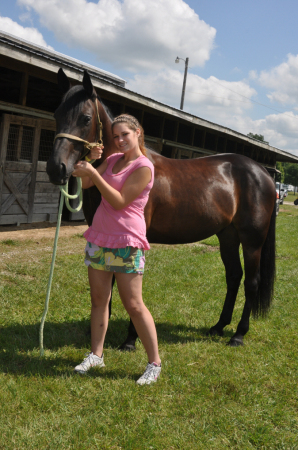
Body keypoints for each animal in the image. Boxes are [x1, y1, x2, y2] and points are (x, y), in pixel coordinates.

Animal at [47, 68, 278, 346]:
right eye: (57, 114)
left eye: (86, 118)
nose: (56, 168)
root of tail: (263, 173)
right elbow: (110, 280)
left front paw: (130, 339)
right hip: (228, 236)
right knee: (234, 276)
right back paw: (218, 326)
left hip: (252, 241)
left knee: (251, 282)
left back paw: (238, 334)